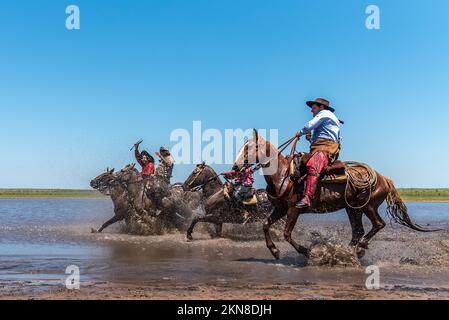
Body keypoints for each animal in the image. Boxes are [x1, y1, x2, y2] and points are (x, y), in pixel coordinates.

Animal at [234, 129, 438, 260]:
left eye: (249, 148)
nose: (235, 167)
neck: (284, 174)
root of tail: (384, 178)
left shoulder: (293, 209)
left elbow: (286, 234)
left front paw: (306, 252)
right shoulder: (281, 208)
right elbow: (265, 225)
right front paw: (274, 251)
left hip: (368, 206)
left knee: (378, 224)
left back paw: (359, 249)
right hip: (352, 208)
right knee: (358, 231)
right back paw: (349, 251)